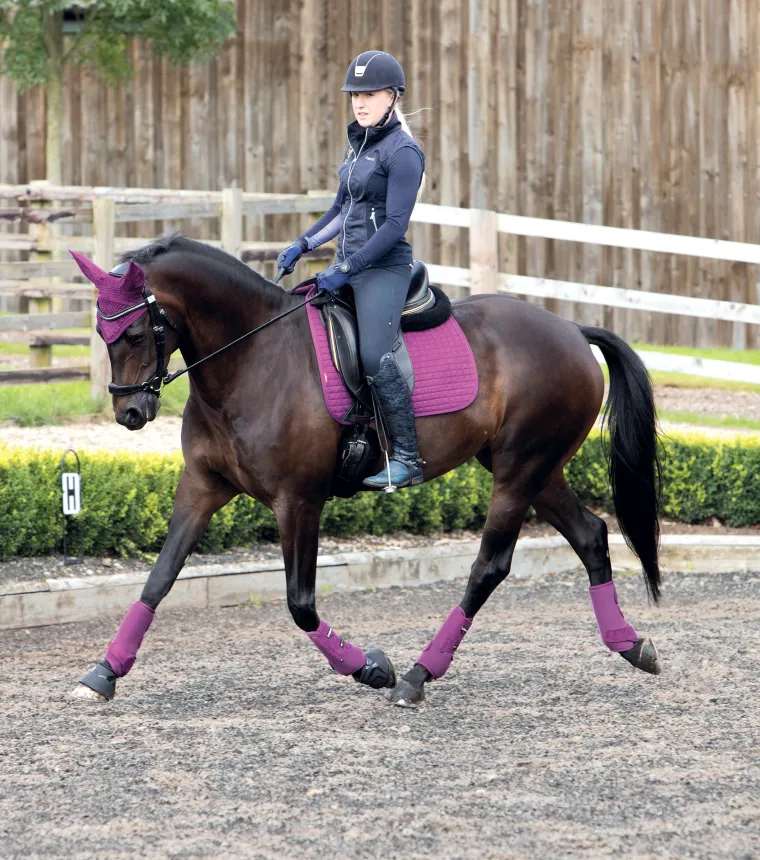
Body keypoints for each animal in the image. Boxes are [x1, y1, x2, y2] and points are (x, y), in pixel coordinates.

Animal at [70, 235, 662, 707]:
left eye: (135, 334)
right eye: (102, 333)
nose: (129, 413)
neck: (250, 358)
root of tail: (571, 329)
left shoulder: (298, 500)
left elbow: (300, 604)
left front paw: (372, 668)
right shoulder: (202, 487)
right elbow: (159, 577)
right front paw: (105, 671)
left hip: (519, 470)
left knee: (490, 567)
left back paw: (419, 675)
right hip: (534, 468)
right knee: (591, 535)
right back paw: (631, 645)